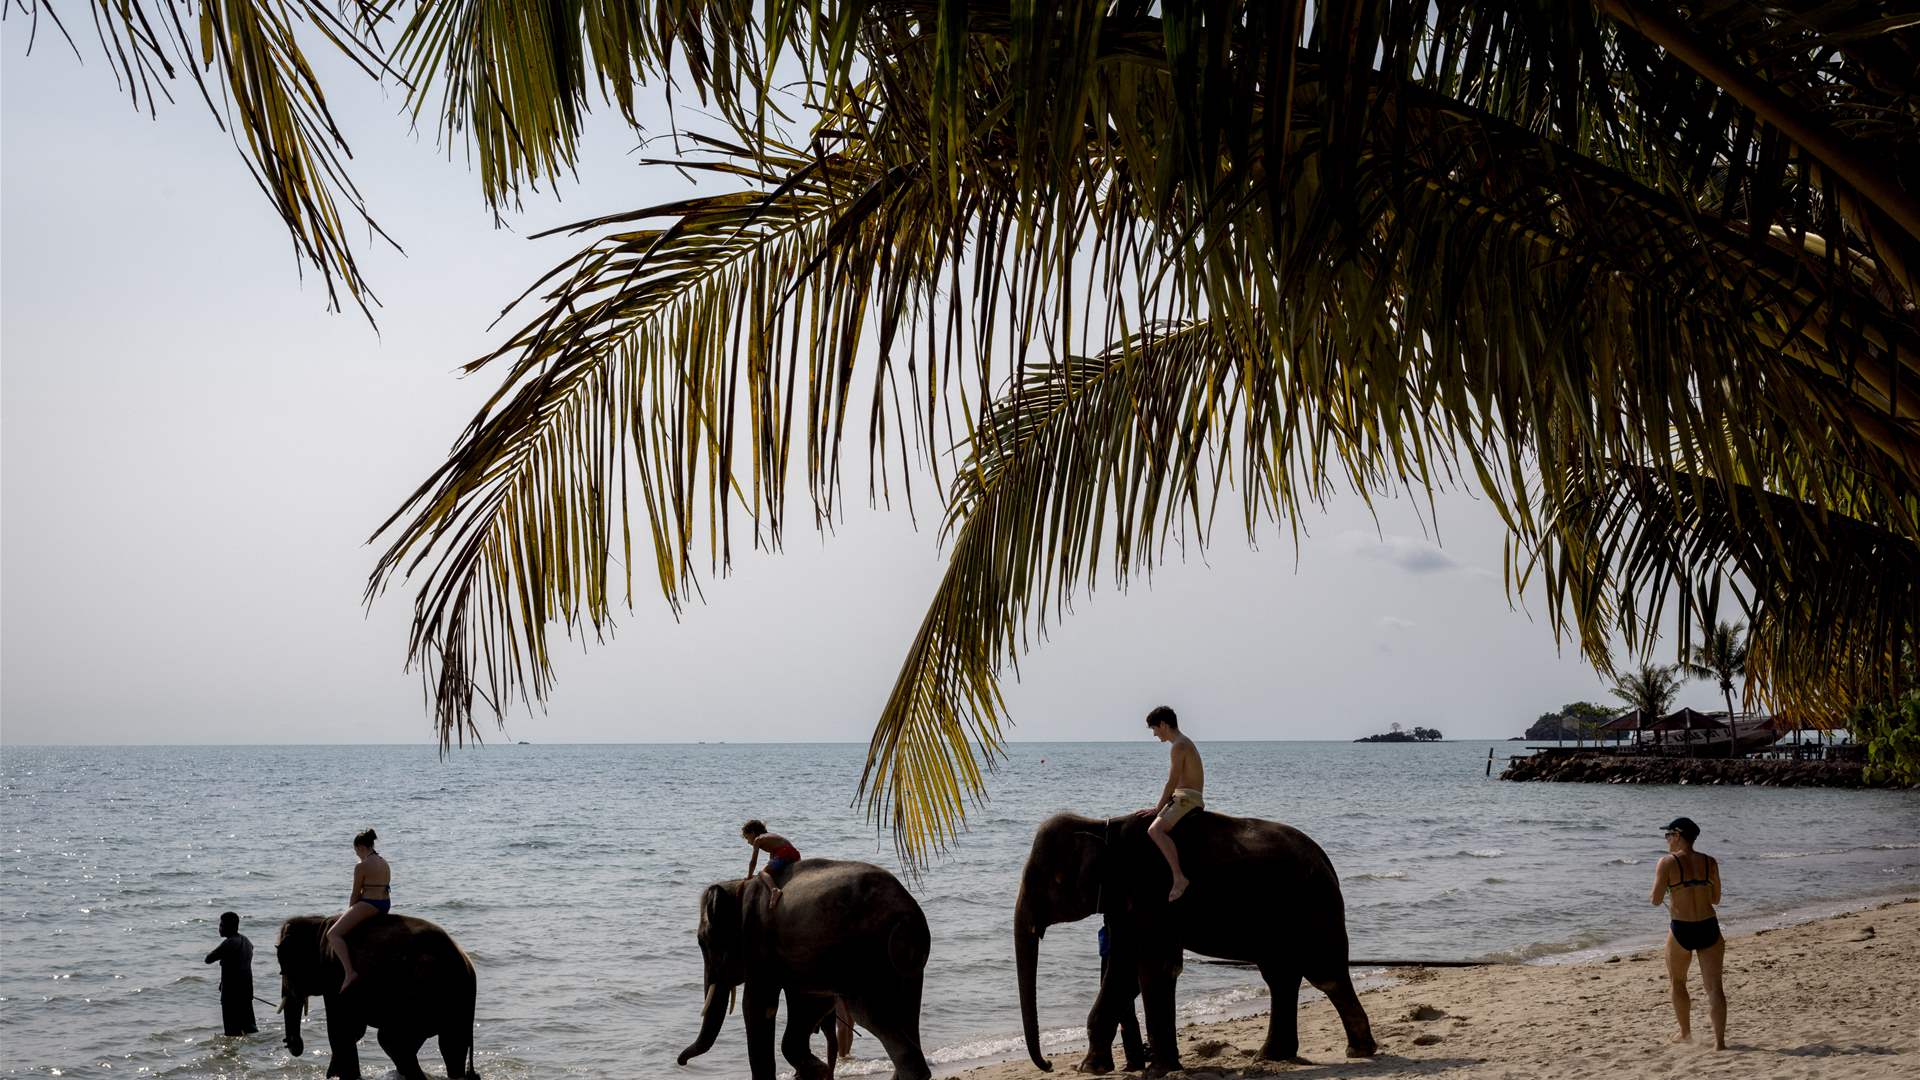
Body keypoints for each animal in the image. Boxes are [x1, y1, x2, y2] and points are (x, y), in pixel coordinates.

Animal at [276, 907, 480, 1076]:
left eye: (282, 970)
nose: (291, 1043)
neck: (319, 923)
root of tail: (466, 965)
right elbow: (352, 1031)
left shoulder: (337, 980)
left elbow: (342, 1030)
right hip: (457, 1005)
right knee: (451, 1047)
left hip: (422, 998)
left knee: (392, 1041)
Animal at [679, 857, 933, 1076]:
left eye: (702, 942)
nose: (681, 1062)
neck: (738, 885)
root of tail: (909, 913)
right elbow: (809, 1006)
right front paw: (818, 1069)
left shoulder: (757, 940)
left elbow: (757, 1005)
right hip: (906, 968)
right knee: (908, 1018)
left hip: (868, 959)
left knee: (872, 1017)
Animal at [1013, 807, 1374, 1068]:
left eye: (1051, 881)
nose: (1047, 1064)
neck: (1104, 824)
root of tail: (1326, 861)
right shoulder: (1127, 906)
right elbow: (1125, 971)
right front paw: (1092, 1068)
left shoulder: (1153, 895)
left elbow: (1153, 966)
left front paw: (1159, 1070)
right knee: (1280, 977)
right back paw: (1272, 1056)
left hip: (1313, 910)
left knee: (1325, 973)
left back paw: (1357, 1051)